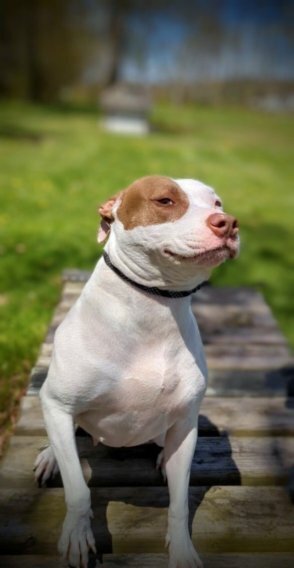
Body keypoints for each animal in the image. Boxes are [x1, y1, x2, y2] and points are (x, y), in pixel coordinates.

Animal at [34, 175, 239, 564]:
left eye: (217, 203)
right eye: (165, 200)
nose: (228, 223)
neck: (154, 308)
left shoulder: (186, 423)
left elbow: (179, 504)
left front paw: (182, 551)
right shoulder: (58, 403)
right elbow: (78, 489)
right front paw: (77, 536)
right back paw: (50, 456)